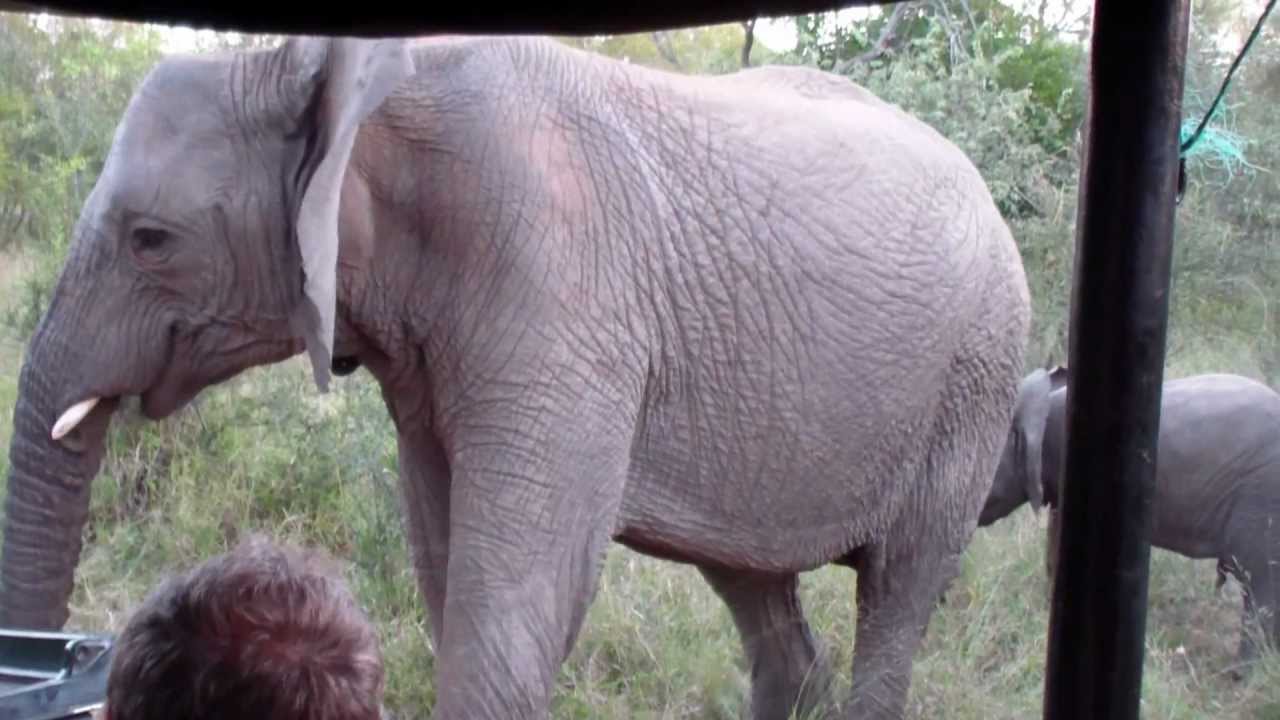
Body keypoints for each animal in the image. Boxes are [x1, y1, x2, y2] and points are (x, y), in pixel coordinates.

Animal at [2, 33, 1029, 717]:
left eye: (151, 241)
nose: (55, 666)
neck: (350, 80)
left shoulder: (560, 297)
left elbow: (517, 595)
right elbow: (445, 562)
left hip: (975, 375)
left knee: (898, 586)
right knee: (753, 583)